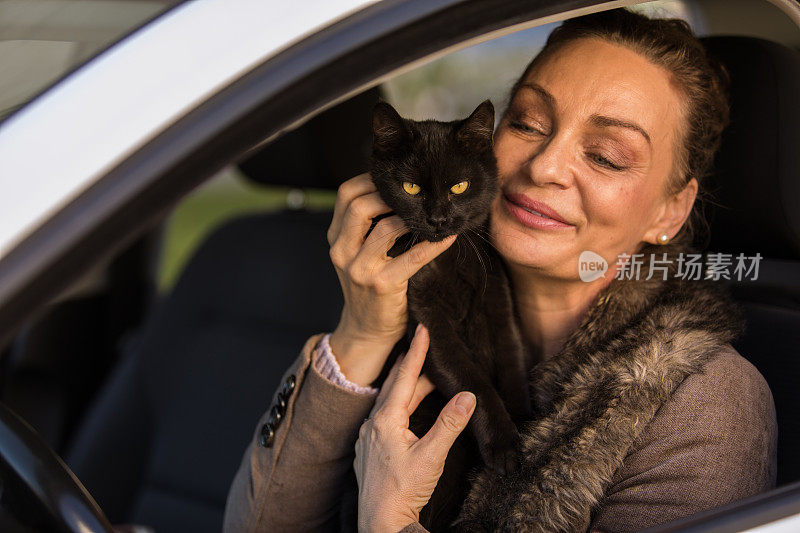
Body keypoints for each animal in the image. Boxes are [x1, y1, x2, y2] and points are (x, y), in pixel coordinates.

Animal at [368, 101, 532, 532]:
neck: (449, 258)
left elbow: (512, 367)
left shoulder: (499, 307)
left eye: (459, 186)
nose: (439, 219)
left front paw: (525, 423)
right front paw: (505, 446)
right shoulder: (428, 323)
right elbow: (473, 383)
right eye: (411, 188)